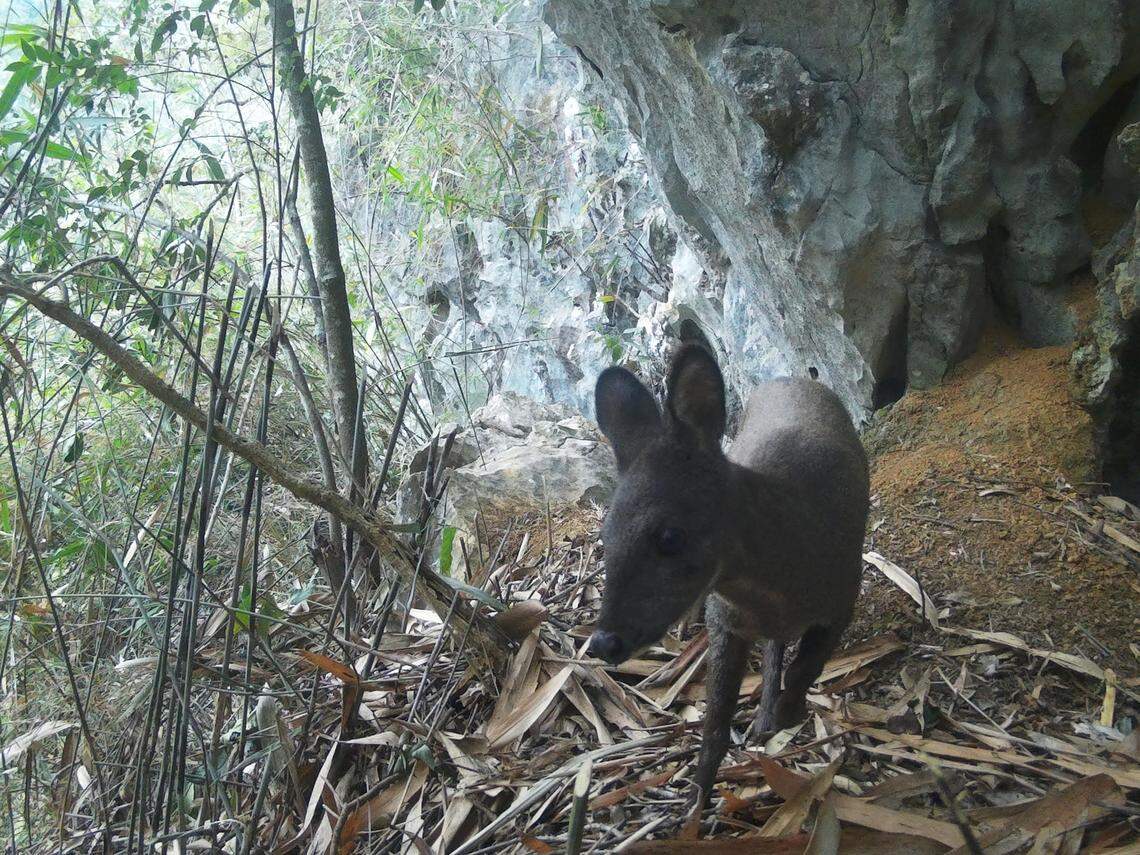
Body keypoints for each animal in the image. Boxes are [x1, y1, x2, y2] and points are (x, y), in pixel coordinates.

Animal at [587, 343, 869, 810]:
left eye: (669, 536)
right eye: (605, 536)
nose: (604, 643)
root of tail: (790, 377)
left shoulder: (845, 593)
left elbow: (805, 668)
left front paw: (787, 713)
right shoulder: (725, 624)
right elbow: (715, 726)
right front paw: (694, 804)